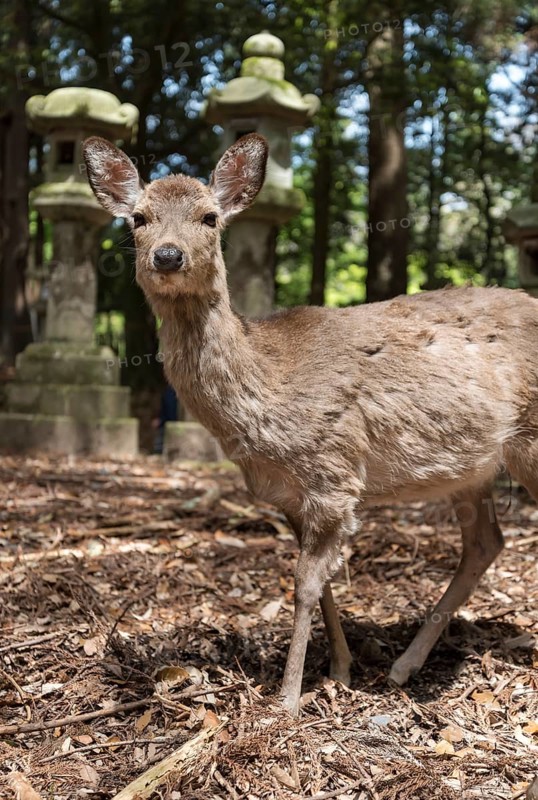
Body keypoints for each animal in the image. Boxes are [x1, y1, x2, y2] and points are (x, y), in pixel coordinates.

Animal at [83, 132, 538, 716]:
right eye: (138, 218)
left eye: (210, 217)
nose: (167, 254)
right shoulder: (289, 494)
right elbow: (322, 586)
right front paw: (340, 670)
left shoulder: (334, 472)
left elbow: (303, 584)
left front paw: (288, 698)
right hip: (474, 467)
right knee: (485, 543)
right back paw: (403, 666)